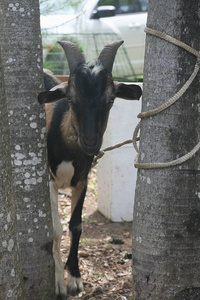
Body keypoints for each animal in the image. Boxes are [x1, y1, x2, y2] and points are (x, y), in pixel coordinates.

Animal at [38, 40, 142, 298]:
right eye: (70, 98)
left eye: (111, 99)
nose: (91, 141)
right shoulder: (49, 180)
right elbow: (55, 228)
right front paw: (58, 283)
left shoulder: (82, 179)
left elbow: (76, 226)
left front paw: (74, 277)